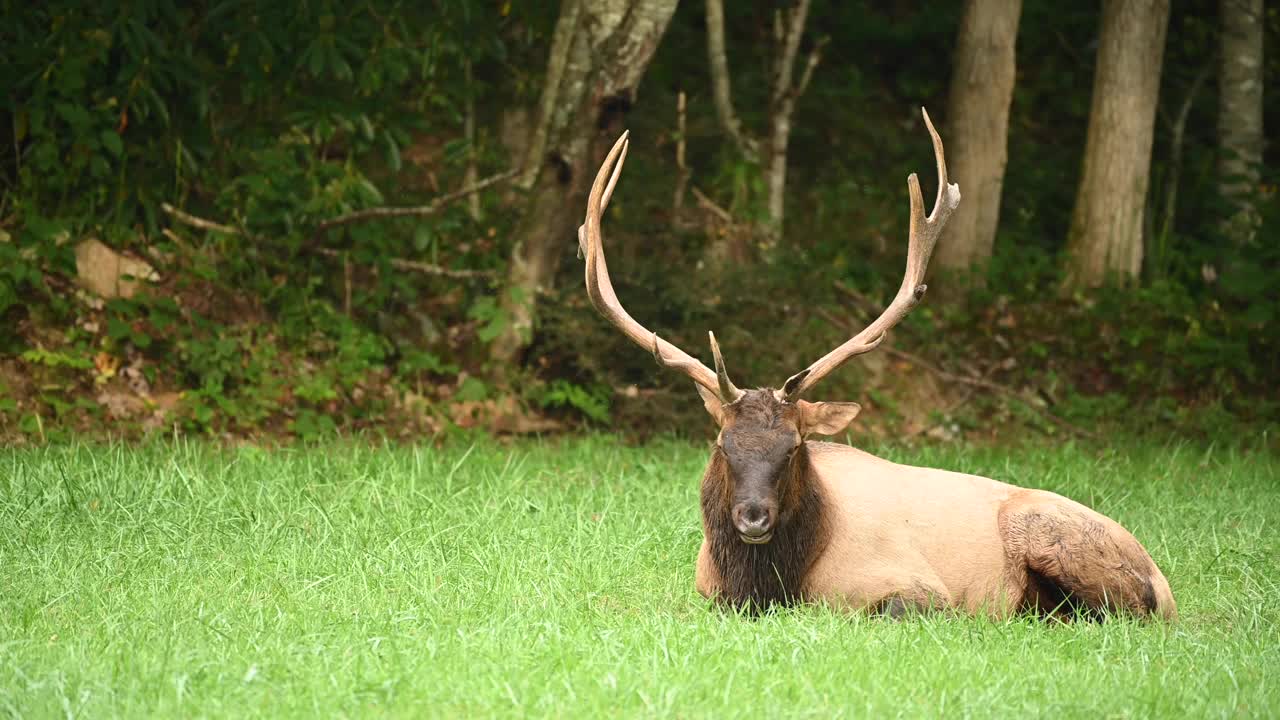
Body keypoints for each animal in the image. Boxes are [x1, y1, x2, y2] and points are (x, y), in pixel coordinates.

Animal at [581, 109, 1177, 620]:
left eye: (793, 447)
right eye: (722, 445)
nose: (753, 517)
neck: (769, 585)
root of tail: (1164, 584)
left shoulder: (917, 587)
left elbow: (896, 607)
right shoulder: (707, 593)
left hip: (1059, 539)